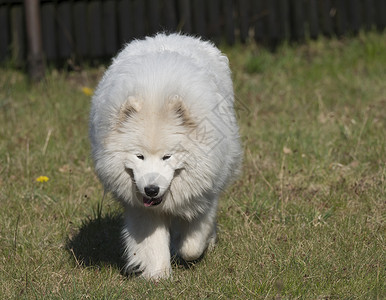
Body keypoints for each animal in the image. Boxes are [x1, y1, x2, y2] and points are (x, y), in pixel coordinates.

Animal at [89, 32, 243, 278]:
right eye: (139, 156)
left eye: (167, 157)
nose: (151, 190)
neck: (155, 93)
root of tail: (171, 35)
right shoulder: (143, 209)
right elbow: (152, 243)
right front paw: (158, 276)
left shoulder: (204, 196)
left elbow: (192, 244)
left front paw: (186, 248)